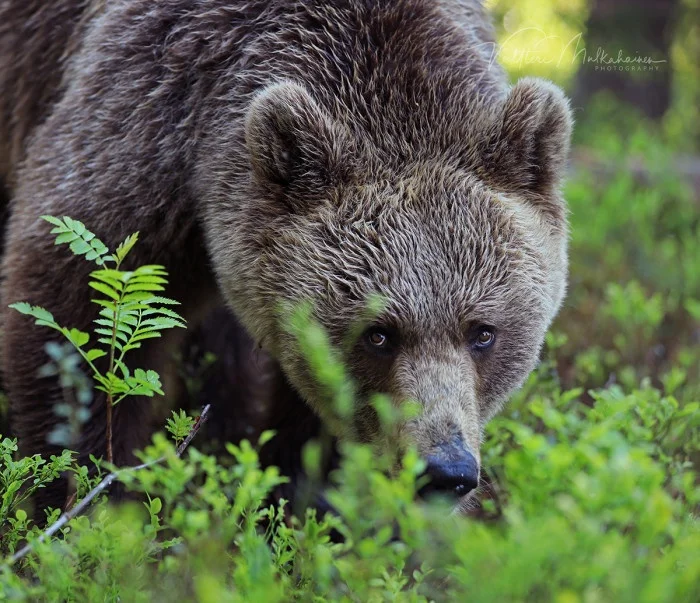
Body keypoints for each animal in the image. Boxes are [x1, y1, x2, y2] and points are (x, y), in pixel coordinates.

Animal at [0, 1, 568, 516]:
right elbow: (73, 320)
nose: (445, 471)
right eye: (378, 334)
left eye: (483, 332)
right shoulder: (142, 119)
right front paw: (86, 508)